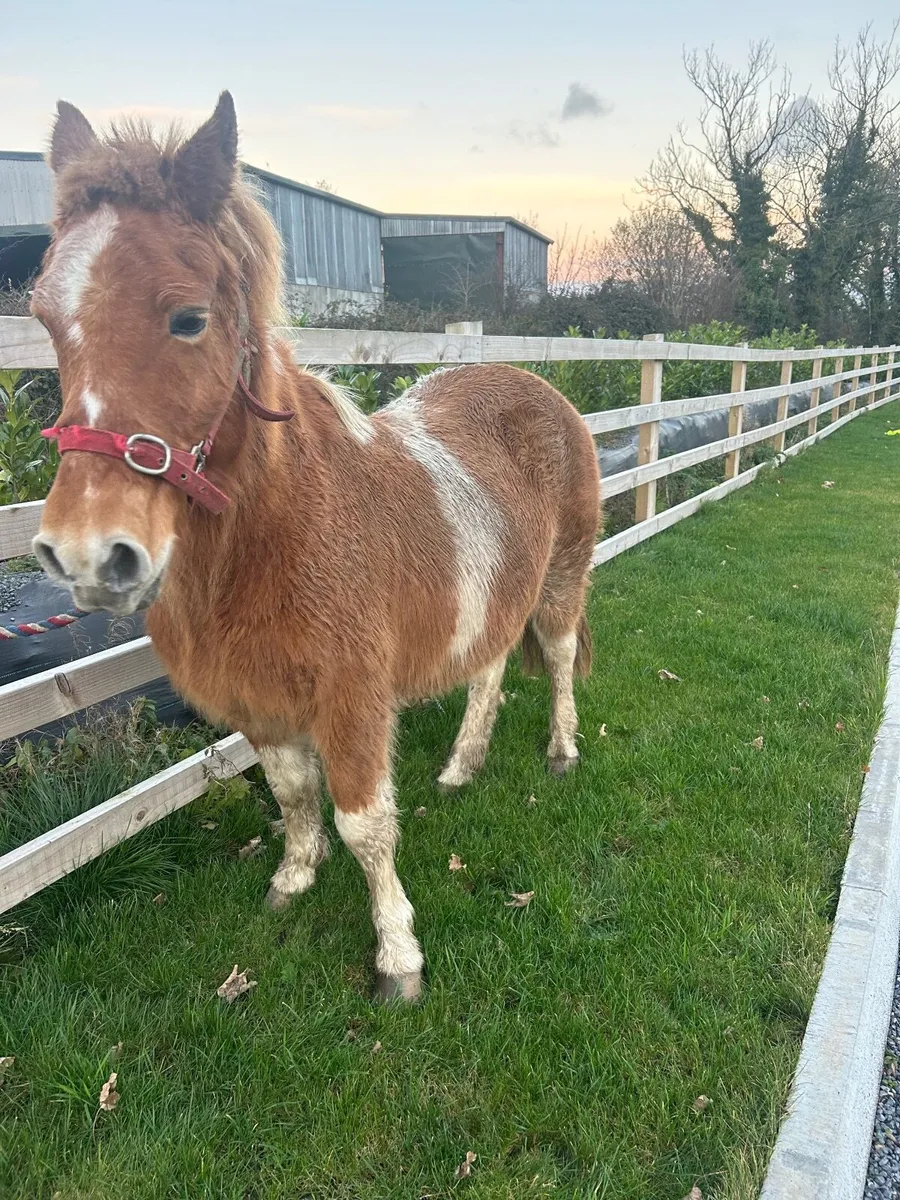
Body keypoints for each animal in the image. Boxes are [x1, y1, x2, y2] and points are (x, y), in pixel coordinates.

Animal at [30, 93, 601, 1002]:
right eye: (46, 316)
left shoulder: (352, 702)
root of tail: (537, 387)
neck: (271, 539)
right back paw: (462, 767)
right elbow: (295, 794)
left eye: (189, 318)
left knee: (554, 655)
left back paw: (561, 752)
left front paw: (398, 958)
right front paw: (293, 879)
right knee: (486, 670)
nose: (87, 556)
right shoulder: (260, 702)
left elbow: (364, 824)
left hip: (561, 577)